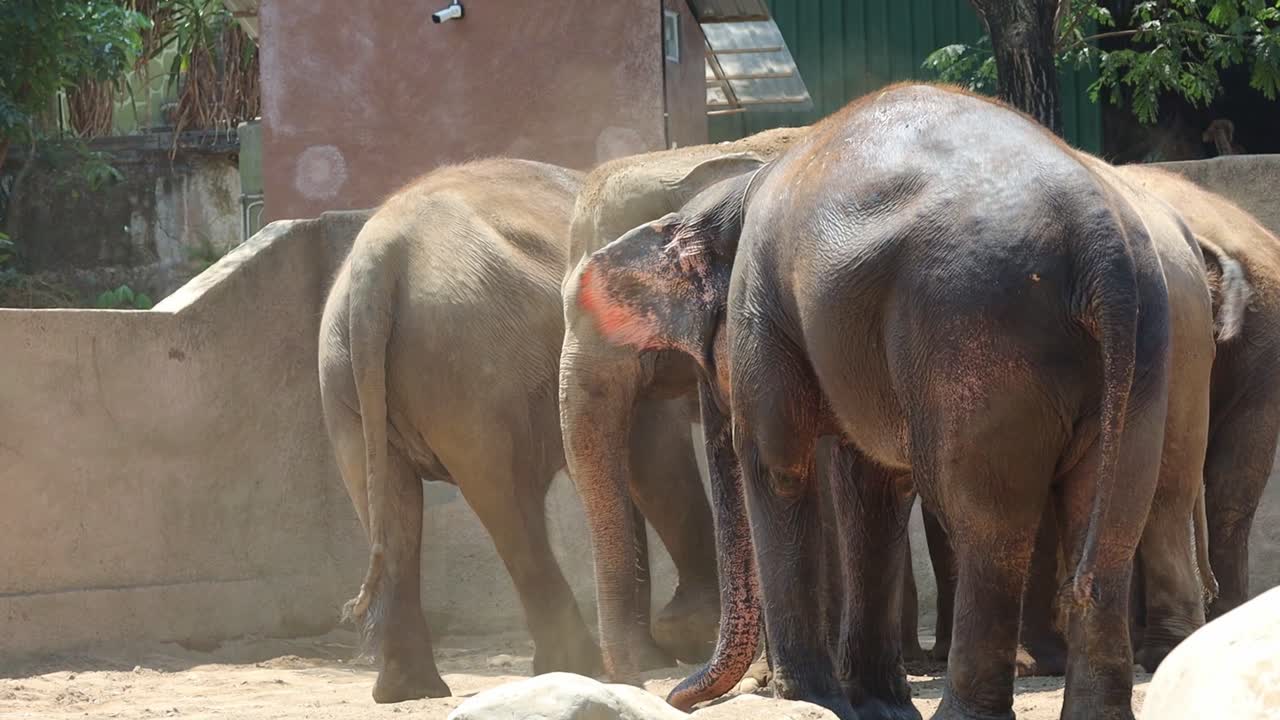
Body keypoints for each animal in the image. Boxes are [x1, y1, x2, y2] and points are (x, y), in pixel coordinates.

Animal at [317, 158, 716, 703]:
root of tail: (377, 261)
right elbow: (653, 455)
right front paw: (688, 639)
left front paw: (658, 652)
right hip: (471, 366)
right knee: (507, 498)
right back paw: (576, 665)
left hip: (348, 380)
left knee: (395, 504)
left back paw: (409, 690)